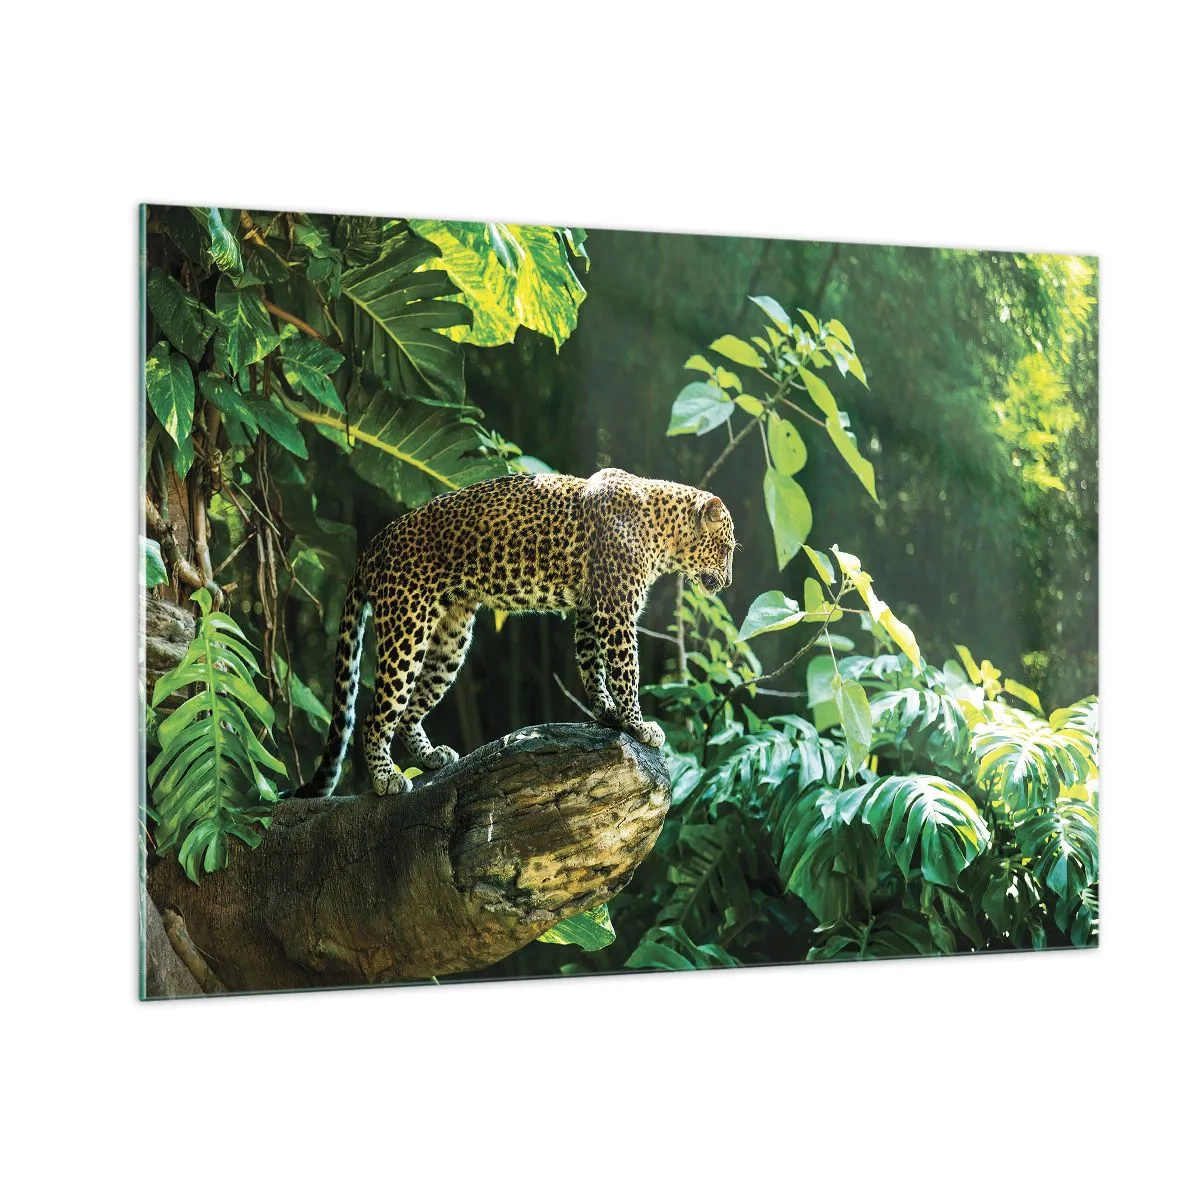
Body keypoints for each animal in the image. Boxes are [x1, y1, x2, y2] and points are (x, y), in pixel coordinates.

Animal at [293, 466, 737, 799]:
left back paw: (431, 756)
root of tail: (374, 543)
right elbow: (625, 670)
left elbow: (592, 665)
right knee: (375, 715)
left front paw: (606, 713)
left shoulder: (590, 609)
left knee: (409, 711)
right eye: (727, 548)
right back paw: (386, 778)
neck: (664, 531)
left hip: (451, 640)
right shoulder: (615, 611)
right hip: (406, 627)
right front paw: (638, 724)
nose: (730, 581)